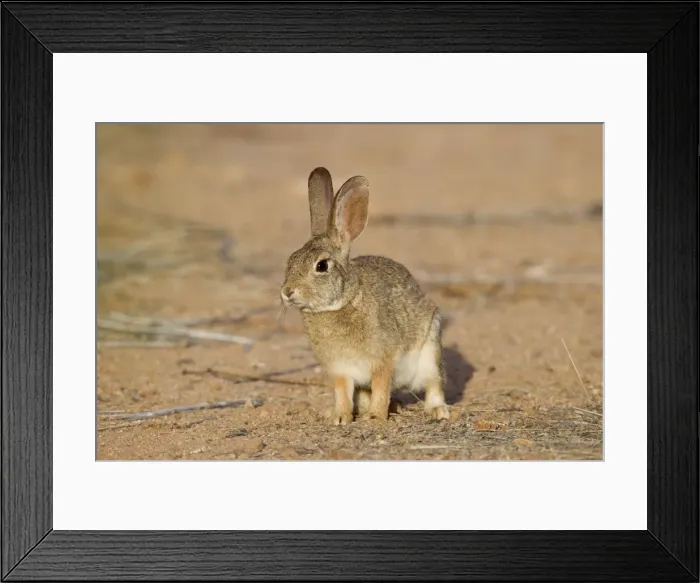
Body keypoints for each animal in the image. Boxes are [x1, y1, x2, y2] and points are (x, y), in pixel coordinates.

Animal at [280, 167, 450, 425]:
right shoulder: (340, 369)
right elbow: (342, 392)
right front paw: (339, 417)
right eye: (290, 260)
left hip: (430, 351)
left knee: (434, 383)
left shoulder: (382, 360)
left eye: (321, 266)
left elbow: (381, 387)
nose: (287, 292)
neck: (342, 301)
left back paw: (437, 411)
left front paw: (375, 417)